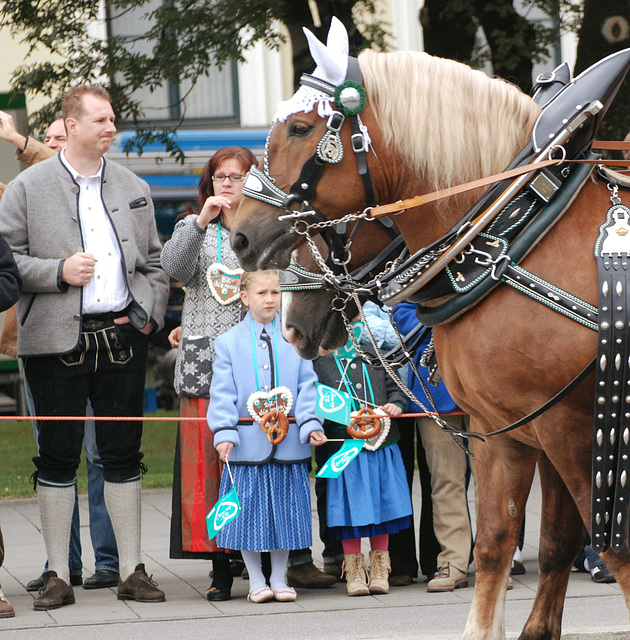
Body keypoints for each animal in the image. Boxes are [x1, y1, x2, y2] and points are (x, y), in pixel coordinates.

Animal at [232, 25, 630, 640]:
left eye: (299, 128)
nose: (240, 237)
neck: (513, 233)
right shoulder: (510, 432)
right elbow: (506, 543)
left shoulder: (576, 429)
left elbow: (610, 550)